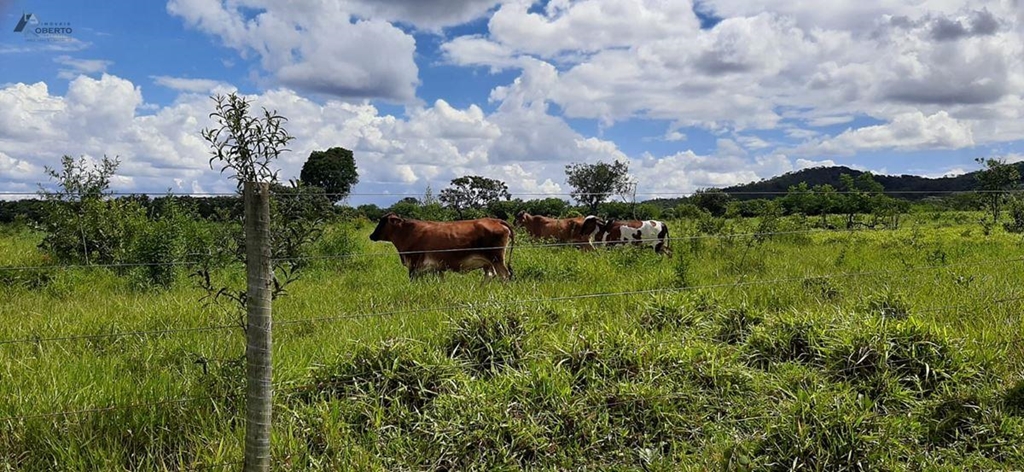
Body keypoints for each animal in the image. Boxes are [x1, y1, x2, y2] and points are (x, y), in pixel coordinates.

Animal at [368, 212, 516, 280]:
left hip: (497, 259)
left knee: (504, 275)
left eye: (382, 221)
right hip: (488, 261)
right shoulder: (435, 268)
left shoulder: (414, 265)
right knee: (491, 275)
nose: (371, 235)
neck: (407, 232)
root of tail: (496, 220)